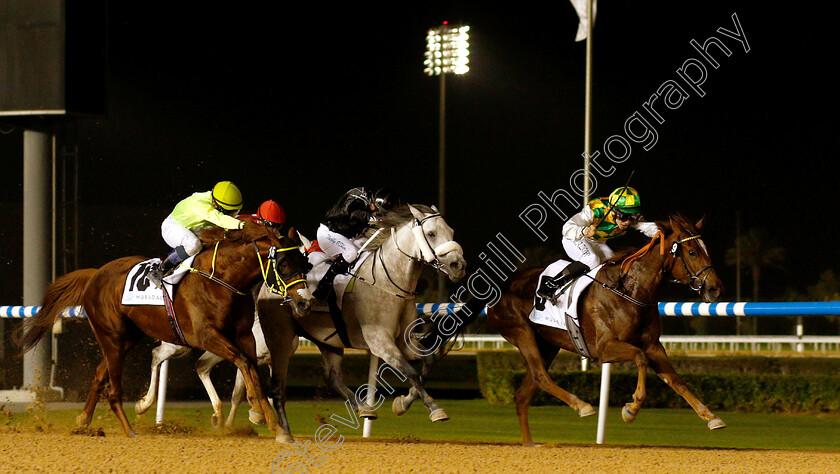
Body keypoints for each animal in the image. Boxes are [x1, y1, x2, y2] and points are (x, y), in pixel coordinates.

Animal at [18, 221, 310, 440]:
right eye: (283, 264)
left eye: (305, 264)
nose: (304, 302)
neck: (223, 280)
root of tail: (96, 274)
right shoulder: (207, 336)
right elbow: (244, 364)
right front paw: (264, 416)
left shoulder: (244, 336)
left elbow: (252, 371)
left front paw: (269, 421)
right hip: (112, 336)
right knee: (115, 386)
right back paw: (129, 429)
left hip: (126, 338)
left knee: (101, 374)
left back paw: (84, 419)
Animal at [488, 214, 724, 444]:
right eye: (692, 252)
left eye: (706, 250)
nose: (715, 288)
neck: (630, 290)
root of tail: (501, 289)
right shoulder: (604, 348)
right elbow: (640, 357)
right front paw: (631, 408)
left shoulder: (653, 345)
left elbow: (675, 380)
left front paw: (711, 417)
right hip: (522, 333)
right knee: (540, 377)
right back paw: (582, 405)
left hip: (547, 344)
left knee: (522, 395)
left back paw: (530, 444)